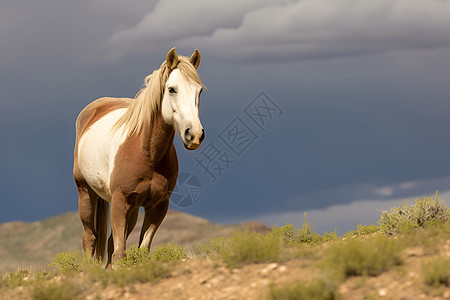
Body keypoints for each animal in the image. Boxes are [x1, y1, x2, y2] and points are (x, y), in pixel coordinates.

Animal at [72, 47, 206, 264]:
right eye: (172, 89)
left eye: (199, 90)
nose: (194, 135)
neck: (147, 152)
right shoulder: (120, 202)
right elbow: (119, 253)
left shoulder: (157, 206)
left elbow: (138, 251)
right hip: (85, 192)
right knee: (89, 237)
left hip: (133, 209)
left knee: (109, 242)